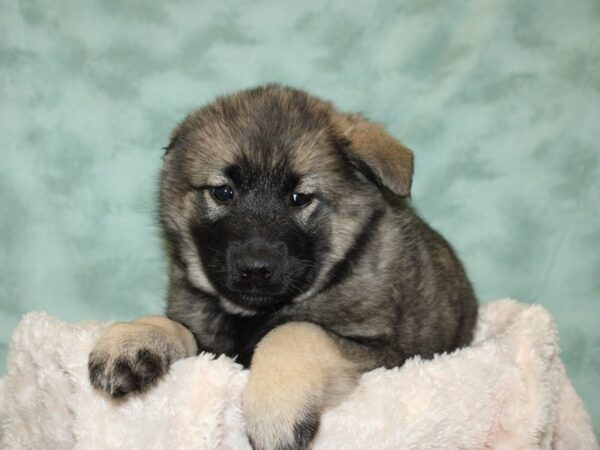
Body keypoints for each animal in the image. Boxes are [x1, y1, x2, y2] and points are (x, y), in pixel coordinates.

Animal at [88, 85, 478, 450]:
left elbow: (296, 332)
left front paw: (275, 410)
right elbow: (176, 326)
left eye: (299, 198)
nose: (255, 268)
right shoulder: (213, 349)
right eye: (223, 192)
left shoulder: (386, 355)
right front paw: (132, 338)